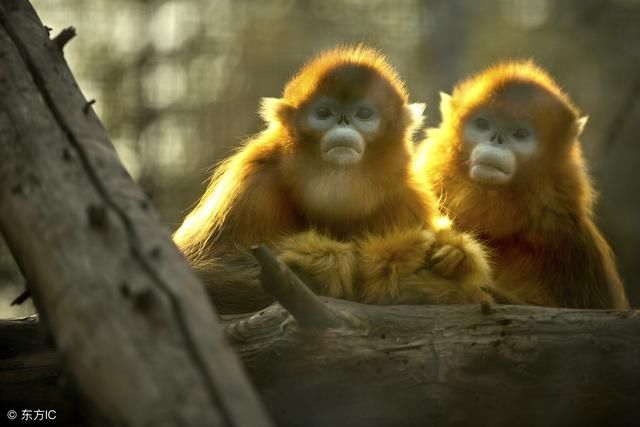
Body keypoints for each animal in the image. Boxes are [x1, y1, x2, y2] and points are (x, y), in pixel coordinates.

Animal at [172, 46, 492, 314]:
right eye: (324, 113)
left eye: (363, 114)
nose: (343, 121)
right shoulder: (253, 181)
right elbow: (199, 272)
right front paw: (331, 264)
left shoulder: (404, 198)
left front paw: (451, 259)